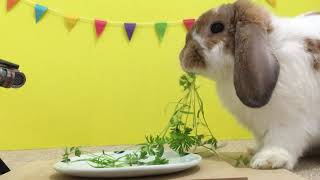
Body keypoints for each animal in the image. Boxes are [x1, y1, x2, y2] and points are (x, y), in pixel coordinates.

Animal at [180, 0, 320, 170]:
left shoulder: (289, 120)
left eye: (216, 27)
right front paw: (255, 151)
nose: (183, 57)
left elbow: (281, 141)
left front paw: (267, 161)